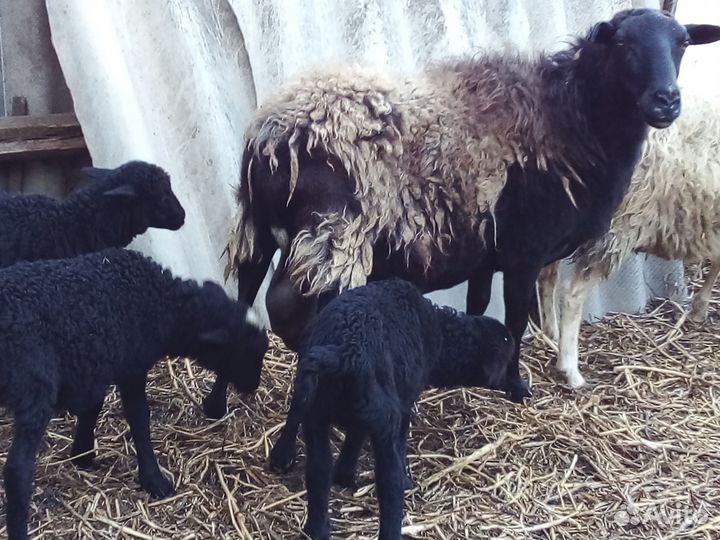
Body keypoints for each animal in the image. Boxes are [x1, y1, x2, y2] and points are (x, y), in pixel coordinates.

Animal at [0, 248, 268, 540]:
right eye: (246, 351)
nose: (253, 386)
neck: (163, 303)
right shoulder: (131, 365)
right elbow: (140, 419)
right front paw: (154, 480)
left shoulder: (102, 359)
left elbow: (93, 406)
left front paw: (82, 454)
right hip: (36, 388)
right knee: (17, 470)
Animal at [269, 279, 513, 540]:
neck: (438, 332)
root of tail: (345, 352)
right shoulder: (402, 404)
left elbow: (353, 438)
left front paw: (344, 475)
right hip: (384, 420)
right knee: (389, 481)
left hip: (317, 411)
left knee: (319, 468)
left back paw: (316, 527)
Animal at [537, 91, 720, 389]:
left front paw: (699, 309)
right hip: (616, 226)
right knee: (572, 294)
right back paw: (570, 370)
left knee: (546, 276)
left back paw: (550, 333)